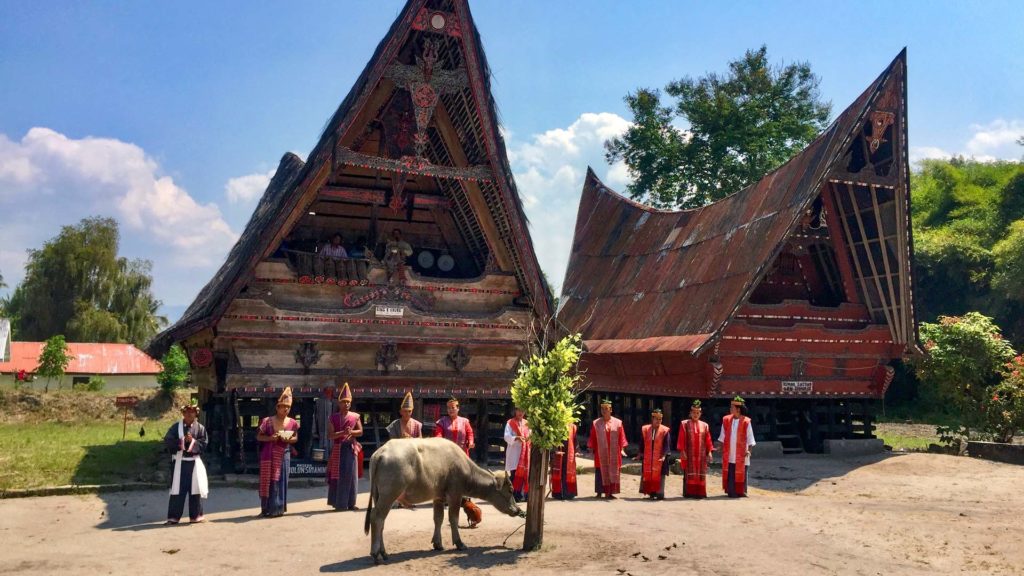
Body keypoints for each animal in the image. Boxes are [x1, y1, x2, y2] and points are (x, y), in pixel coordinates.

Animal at [362, 434, 520, 561]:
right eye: (511, 490)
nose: (517, 510)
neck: (464, 468)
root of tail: (380, 452)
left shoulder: (438, 498)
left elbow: (438, 519)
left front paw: (438, 543)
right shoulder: (455, 494)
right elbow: (453, 519)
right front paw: (459, 543)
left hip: (379, 496)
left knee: (381, 522)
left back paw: (383, 552)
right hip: (389, 495)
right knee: (376, 518)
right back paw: (376, 554)